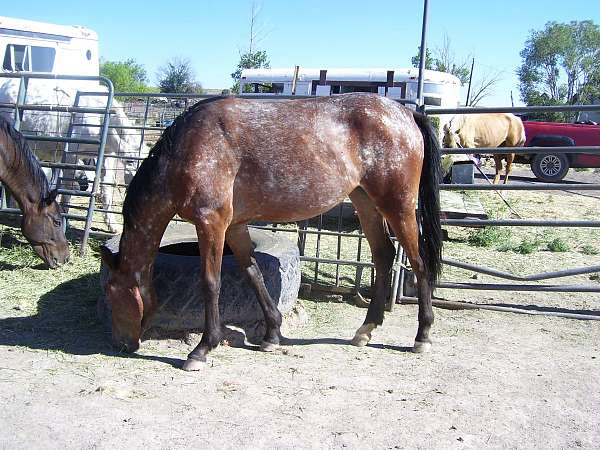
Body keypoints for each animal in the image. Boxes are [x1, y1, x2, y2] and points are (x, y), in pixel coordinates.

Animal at [101, 93, 442, 370]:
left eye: (111, 292)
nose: (123, 345)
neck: (191, 146)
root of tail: (407, 113)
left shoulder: (211, 224)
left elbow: (211, 282)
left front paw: (202, 349)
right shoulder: (235, 226)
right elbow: (253, 274)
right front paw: (272, 334)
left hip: (398, 205)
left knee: (418, 262)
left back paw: (422, 335)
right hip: (365, 202)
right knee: (384, 256)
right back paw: (365, 329)